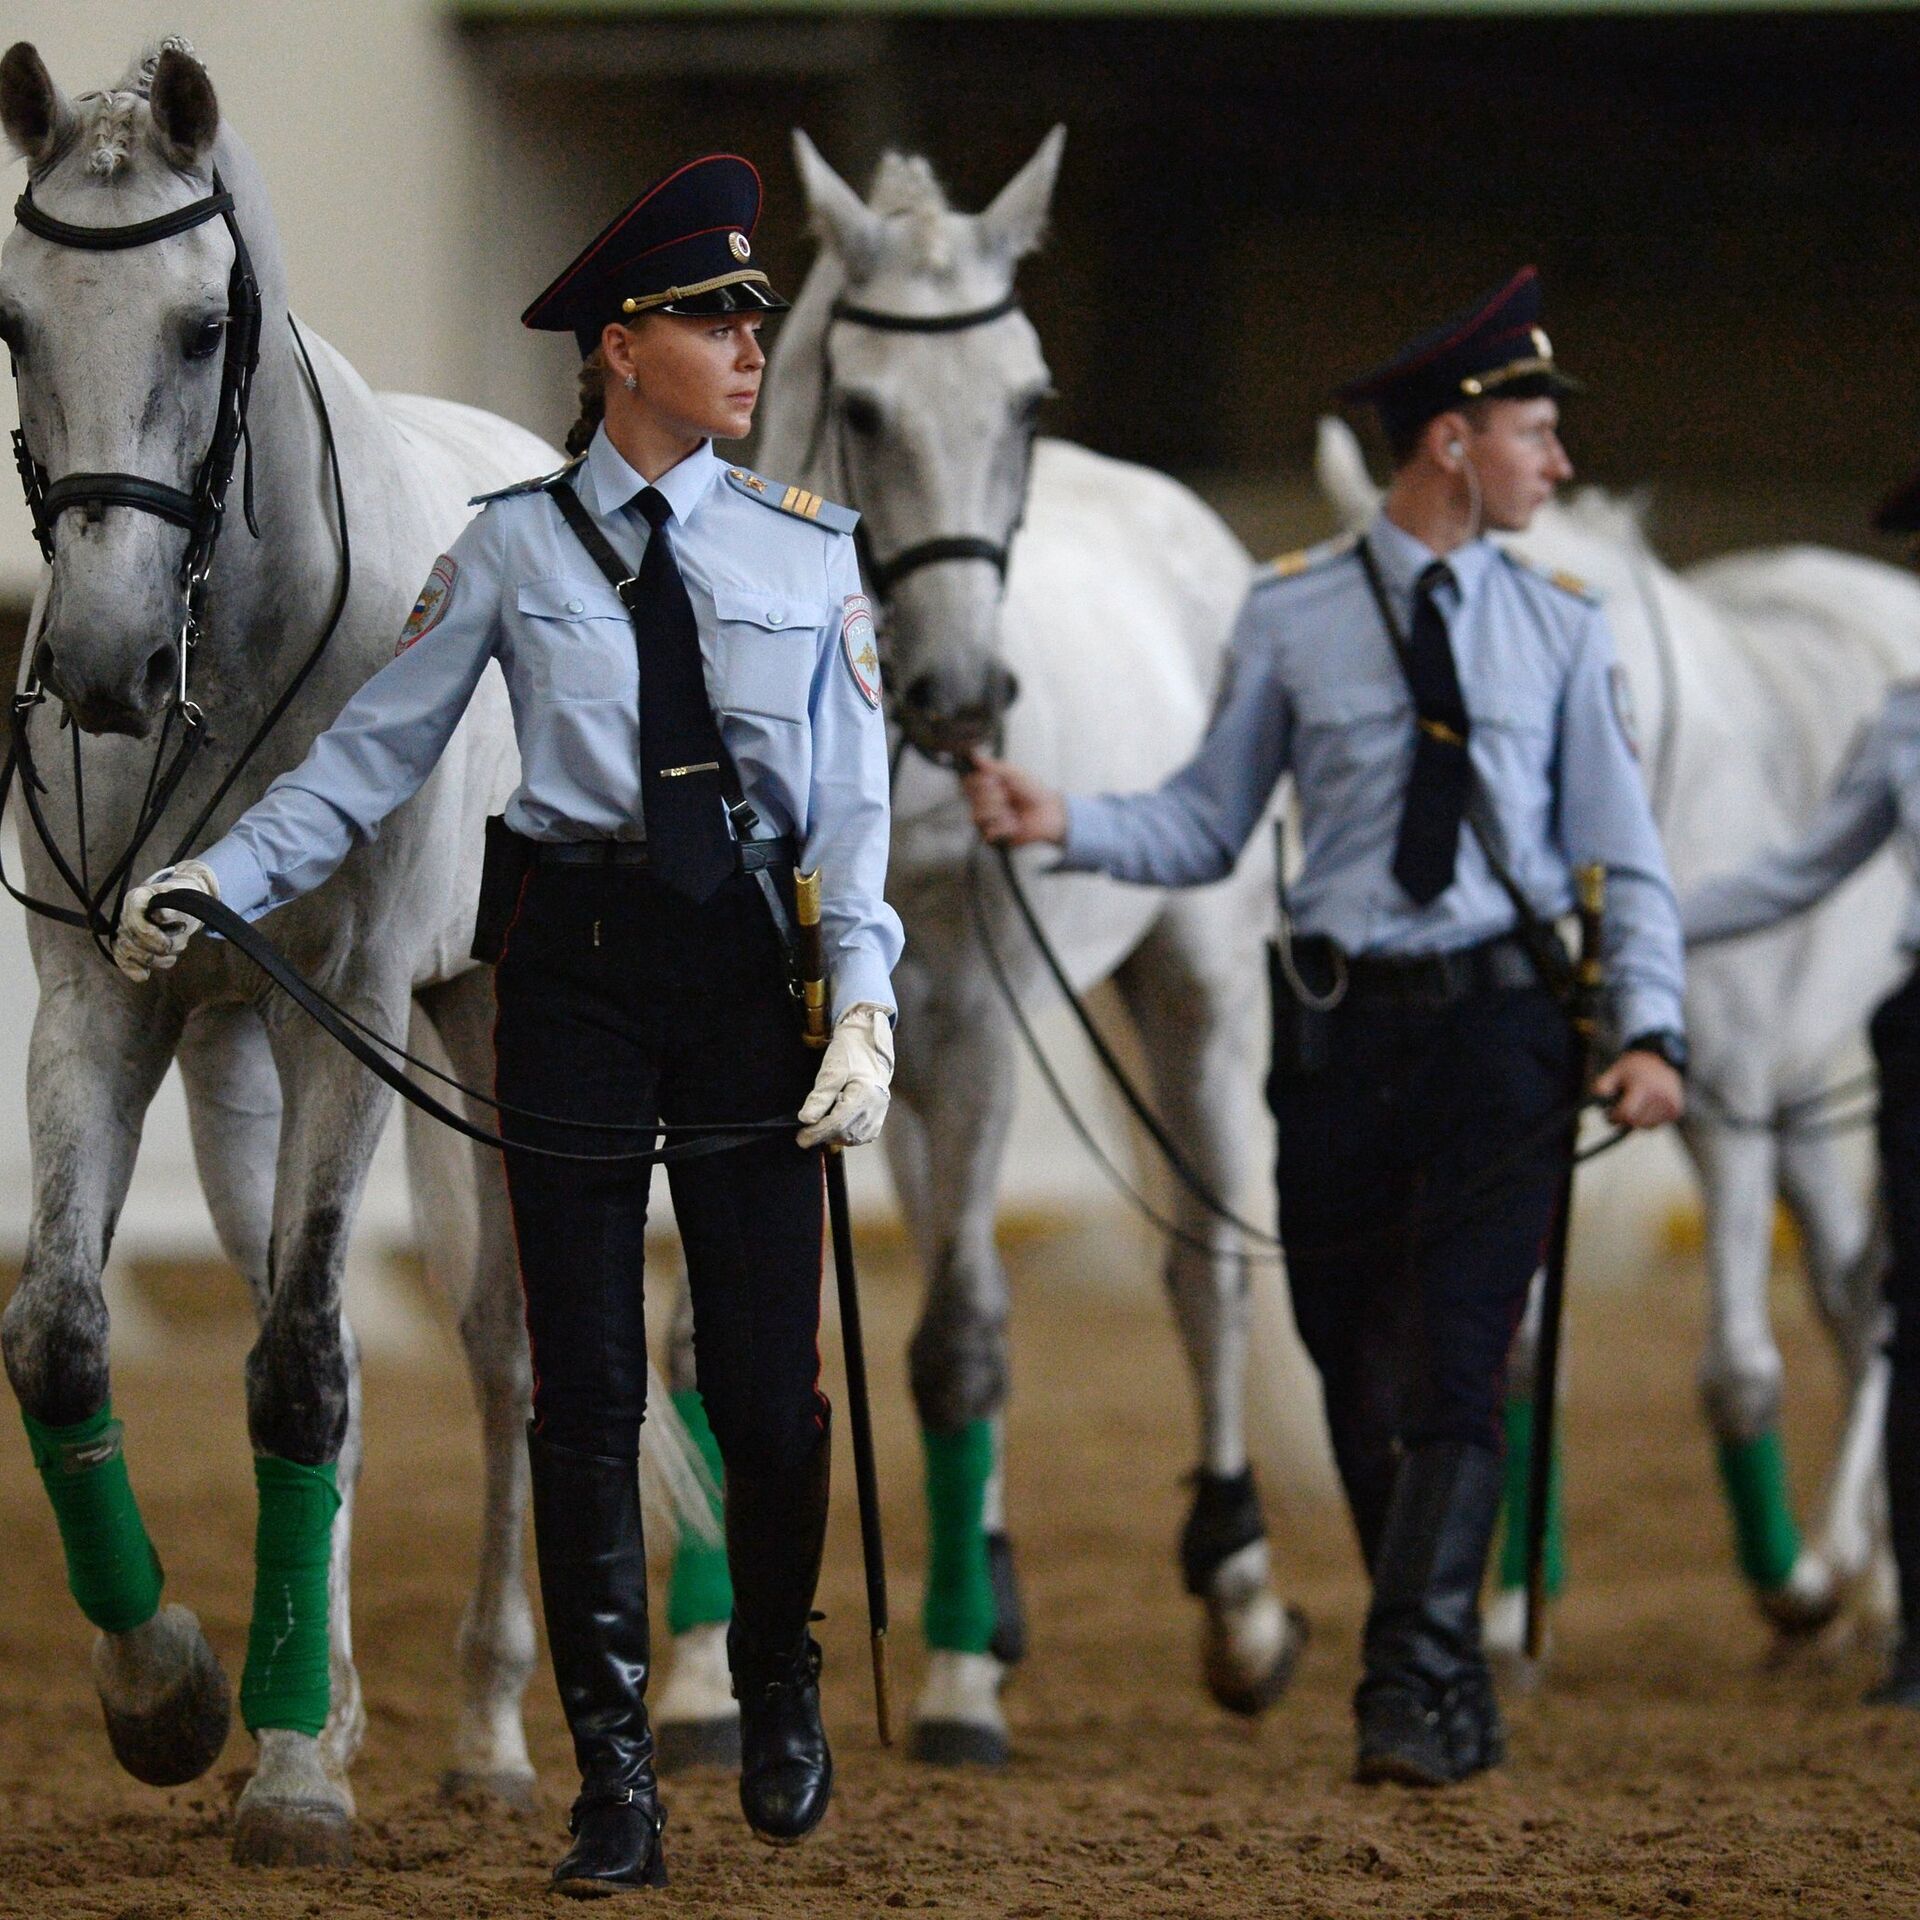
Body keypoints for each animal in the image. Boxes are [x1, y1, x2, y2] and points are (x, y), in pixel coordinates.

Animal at [0, 41, 706, 1858]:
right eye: (15, 320)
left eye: (200, 326)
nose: (98, 664)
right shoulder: (101, 1005)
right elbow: (67, 1339)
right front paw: (179, 1699)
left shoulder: (359, 1013)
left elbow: (311, 1368)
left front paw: (297, 1780)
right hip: (236, 1053)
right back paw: (318, 1697)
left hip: (480, 1030)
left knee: (506, 1349)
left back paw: (490, 1730)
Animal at [656, 123, 1305, 1766]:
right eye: (866, 407)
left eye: (1028, 400)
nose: (962, 694)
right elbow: (702, 1338)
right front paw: (697, 1678)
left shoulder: (976, 1019)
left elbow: (960, 1339)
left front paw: (953, 1688)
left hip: (1197, 994)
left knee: (1202, 1275)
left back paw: (1238, 1605)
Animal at [1320, 420, 1920, 1651]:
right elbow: (1511, 1354)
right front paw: (1508, 1613)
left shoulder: (1723, 1105)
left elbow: (1735, 1371)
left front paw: (1794, 1589)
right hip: (1802, 1098)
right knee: (1850, 1296)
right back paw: (1876, 1578)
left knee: (1873, 1297)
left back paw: (1849, 1579)